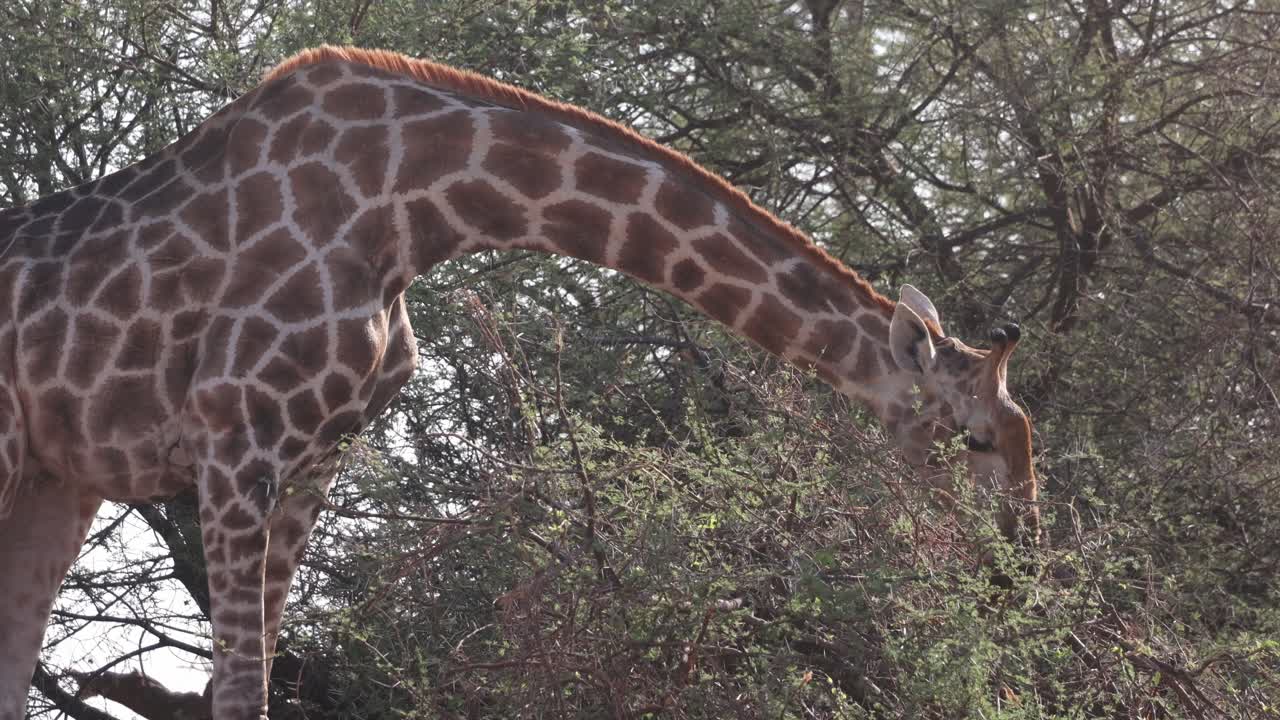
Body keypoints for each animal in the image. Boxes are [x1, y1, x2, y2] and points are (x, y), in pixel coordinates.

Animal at [0, 46, 1039, 719]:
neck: (411, 207)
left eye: (1029, 436)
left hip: (57, 479)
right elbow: (241, 687)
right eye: (974, 439)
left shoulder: (313, 459)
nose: (1017, 576)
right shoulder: (233, 439)